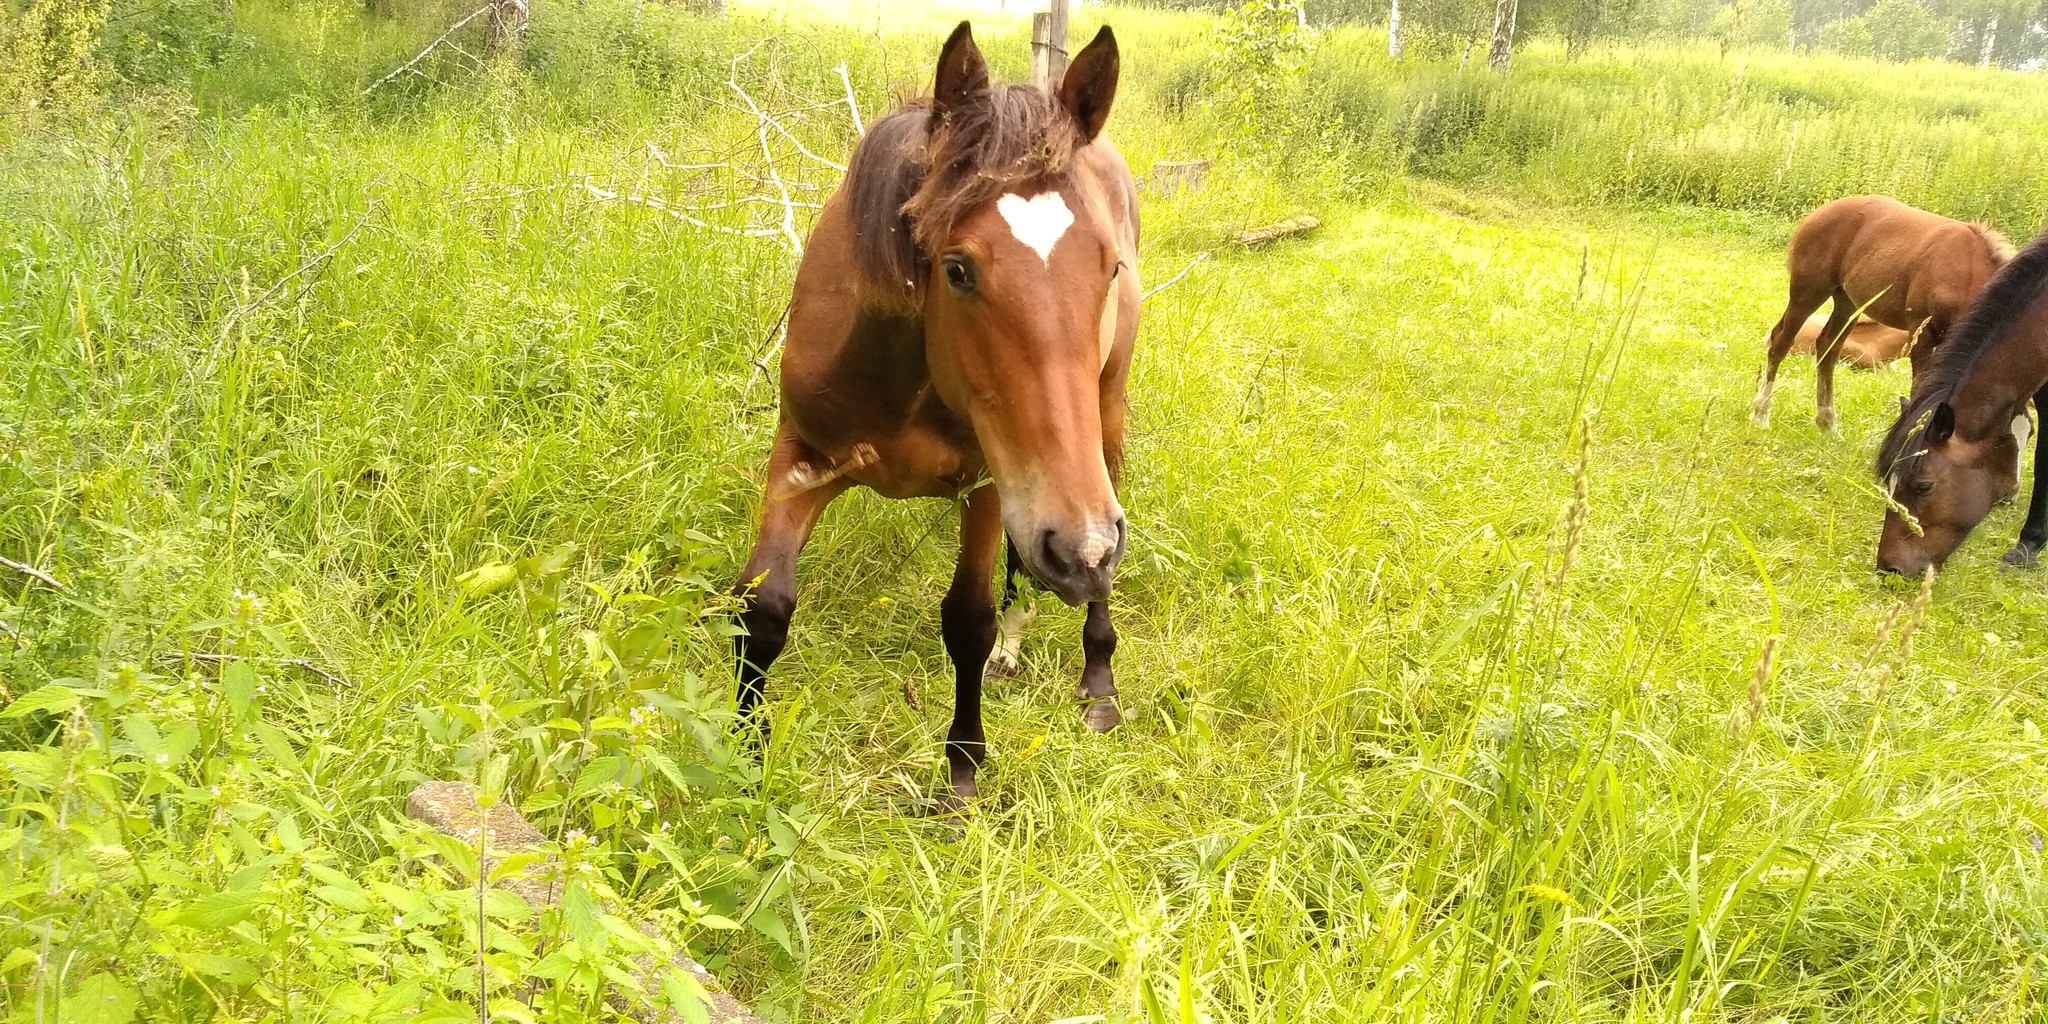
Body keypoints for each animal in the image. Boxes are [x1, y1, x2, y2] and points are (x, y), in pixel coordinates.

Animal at [724, 19, 1146, 811]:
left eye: (1109, 267)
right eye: (957, 269)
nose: (1078, 548)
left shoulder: (987, 484)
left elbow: (967, 621)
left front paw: (961, 777)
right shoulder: (799, 457)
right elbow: (763, 607)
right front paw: (740, 755)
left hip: (1099, 419)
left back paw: (1097, 681)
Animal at [1753, 195, 2007, 432]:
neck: (1964, 273)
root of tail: (1818, 213)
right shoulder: (1921, 332)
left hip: (1848, 303)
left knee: (1827, 347)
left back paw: (1827, 423)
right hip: (1807, 294)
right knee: (1780, 341)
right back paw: (1761, 413)